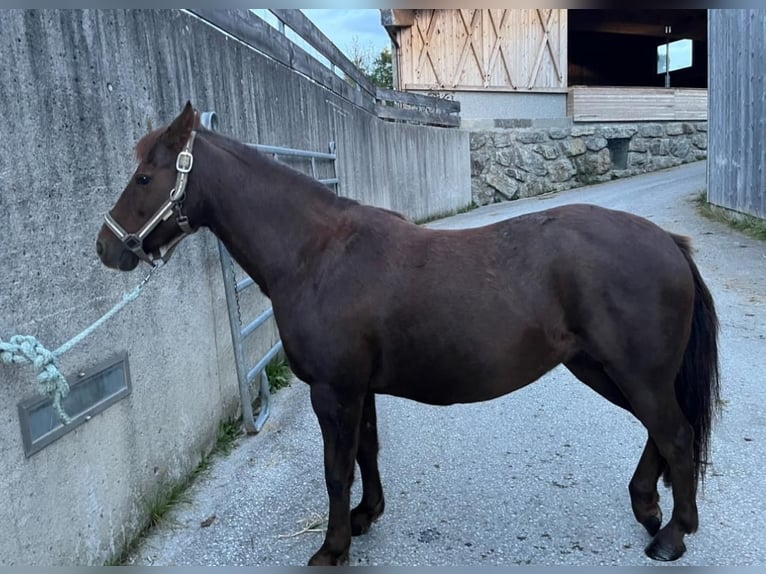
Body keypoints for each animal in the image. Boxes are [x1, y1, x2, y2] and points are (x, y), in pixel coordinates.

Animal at [96, 102, 720, 568]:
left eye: (146, 176)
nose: (106, 247)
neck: (316, 255)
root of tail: (669, 244)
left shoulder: (334, 391)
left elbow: (337, 468)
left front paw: (332, 548)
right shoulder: (358, 389)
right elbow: (366, 452)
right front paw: (366, 516)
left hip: (632, 373)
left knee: (675, 434)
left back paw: (672, 535)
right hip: (606, 369)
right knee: (662, 433)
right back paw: (649, 510)